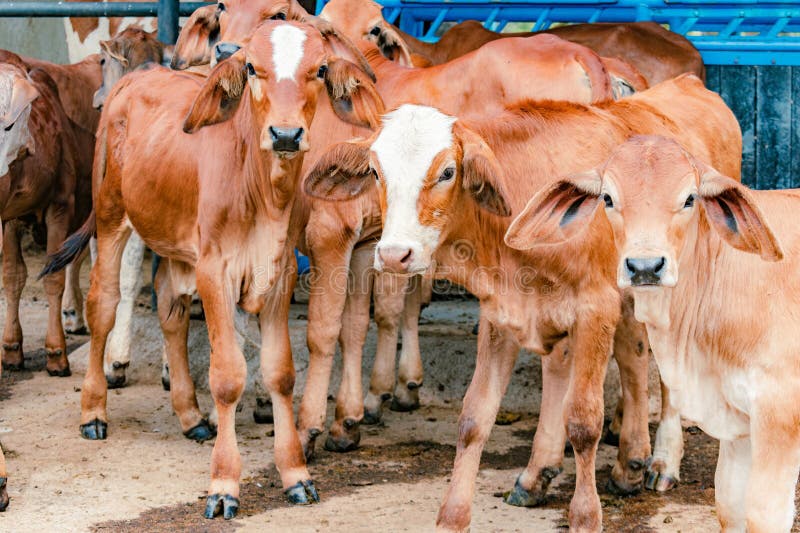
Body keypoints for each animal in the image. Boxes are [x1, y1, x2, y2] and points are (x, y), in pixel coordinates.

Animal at [42, 20, 384, 518]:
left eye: (319, 69)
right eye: (252, 68)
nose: (285, 134)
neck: (261, 190)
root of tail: (137, 78)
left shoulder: (278, 275)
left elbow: (281, 373)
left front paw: (295, 474)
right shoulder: (214, 272)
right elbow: (227, 377)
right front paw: (224, 485)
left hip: (172, 241)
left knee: (170, 308)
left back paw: (190, 417)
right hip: (111, 216)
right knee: (102, 305)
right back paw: (93, 412)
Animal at [303, 74, 741, 531]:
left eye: (447, 172)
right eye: (375, 171)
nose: (393, 255)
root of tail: (688, 84)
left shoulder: (594, 307)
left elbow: (583, 421)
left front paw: (586, 516)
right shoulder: (503, 311)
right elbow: (475, 417)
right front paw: (453, 516)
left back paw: (662, 462)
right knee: (630, 354)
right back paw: (607, 465)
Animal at [506, 134, 799, 532]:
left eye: (690, 198)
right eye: (608, 198)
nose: (645, 266)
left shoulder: (779, 415)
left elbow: (763, 513)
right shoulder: (739, 426)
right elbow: (729, 505)